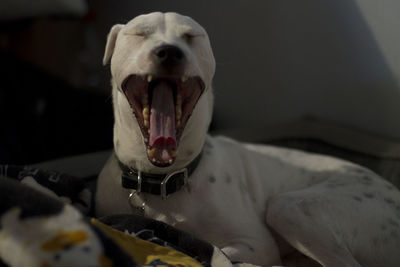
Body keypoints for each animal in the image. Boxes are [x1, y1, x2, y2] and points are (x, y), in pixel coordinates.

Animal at [96, 12, 400, 267]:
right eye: (140, 33)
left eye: (191, 36)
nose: (169, 52)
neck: (161, 181)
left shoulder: (256, 244)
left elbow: (216, 250)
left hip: (291, 208)